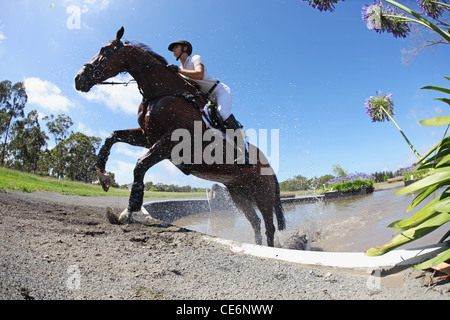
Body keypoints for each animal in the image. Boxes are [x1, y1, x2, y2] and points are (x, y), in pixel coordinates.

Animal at [74, 27, 284, 248]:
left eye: (104, 51)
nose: (78, 79)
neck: (162, 92)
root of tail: (270, 166)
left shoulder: (172, 140)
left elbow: (140, 164)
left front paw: (128, 212)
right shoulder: (148, 137)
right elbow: (112, 137)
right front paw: (102, 176)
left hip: (262, 193)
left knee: (269, 226)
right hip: (239, 193)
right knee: (255, 222)